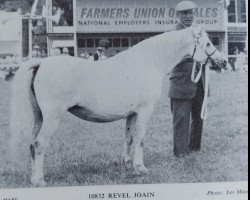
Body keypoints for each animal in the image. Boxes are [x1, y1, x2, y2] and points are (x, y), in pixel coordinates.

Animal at [9, 25, 226, 187]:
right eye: (208, 43)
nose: (222, 61)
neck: (148, 62)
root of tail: (41, 63)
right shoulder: (144, 110)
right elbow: (140, 139)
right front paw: (140, 168)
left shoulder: (132, 113)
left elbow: (129, 138)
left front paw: (126, 164)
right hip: (52, 118)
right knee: (39, 144)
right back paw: (39, 181)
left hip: (39, 116)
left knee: (32, 144)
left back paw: (33, 178)